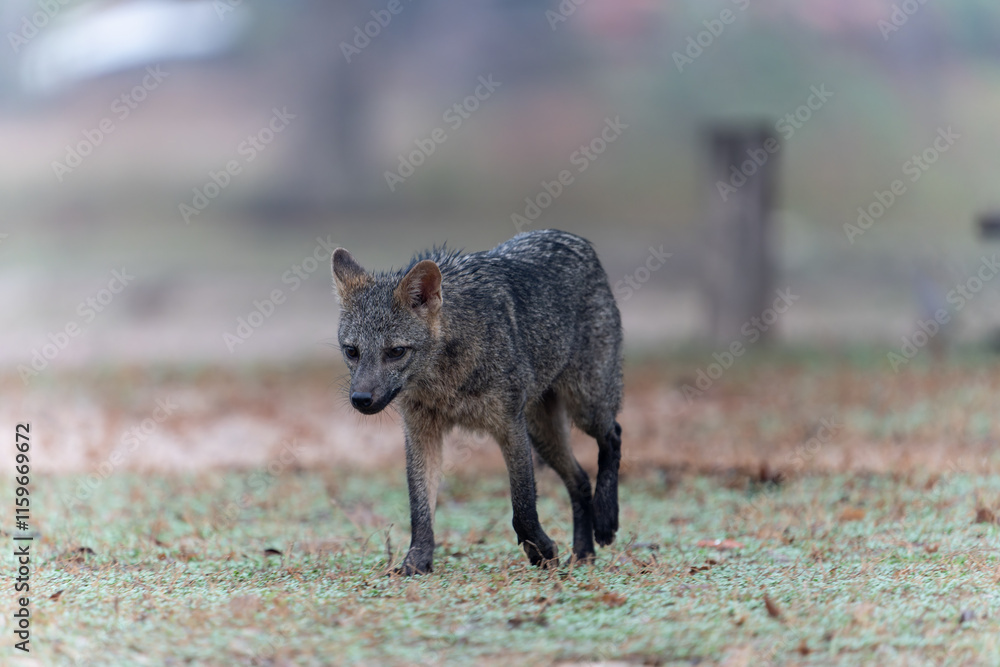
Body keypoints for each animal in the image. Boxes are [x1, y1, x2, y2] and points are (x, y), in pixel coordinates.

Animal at [330, 229, 623, 575]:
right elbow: (420, 509)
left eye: (396, 352)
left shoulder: (509, 426)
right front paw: (417, 562)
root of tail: (570, 237)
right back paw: (583, 553)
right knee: (579, 480)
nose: (361, 400)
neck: (444, 381)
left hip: (585, 408)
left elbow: (523, 506)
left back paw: (605, 520)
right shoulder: (421, 433)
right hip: (543, 434)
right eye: (352, 351)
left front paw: (541, 551)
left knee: (613, 436)